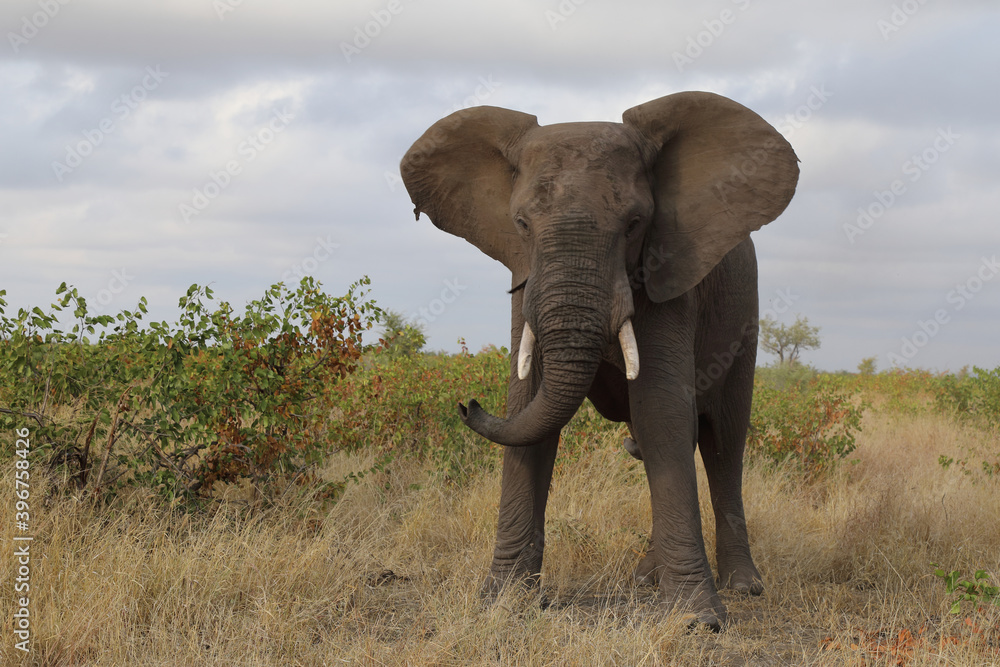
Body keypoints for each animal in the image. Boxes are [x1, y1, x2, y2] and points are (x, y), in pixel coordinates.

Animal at [399, 91, 798, 629]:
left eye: (634, 225)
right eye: (521, 224)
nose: (468, 405)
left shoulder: (670, 268)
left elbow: (662, 413)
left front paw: (698, 621)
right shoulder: (524, 274)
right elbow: (529, 407)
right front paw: (501, 602)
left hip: (744, 317)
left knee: (723, 441)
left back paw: (743, 586)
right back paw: (646, 578)